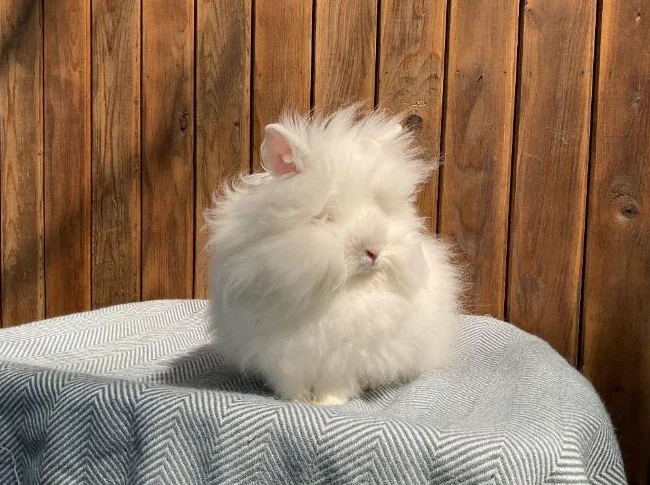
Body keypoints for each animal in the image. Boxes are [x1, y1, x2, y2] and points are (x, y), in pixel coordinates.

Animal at [206, 106, 461, 406]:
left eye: (381, 210)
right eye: (326, 216)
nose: (373, 250)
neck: (338, 294)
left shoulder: (344, 358)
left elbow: (336, 383)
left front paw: (328, 403)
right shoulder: (281, 356)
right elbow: (291, 381)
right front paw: (298, 401)